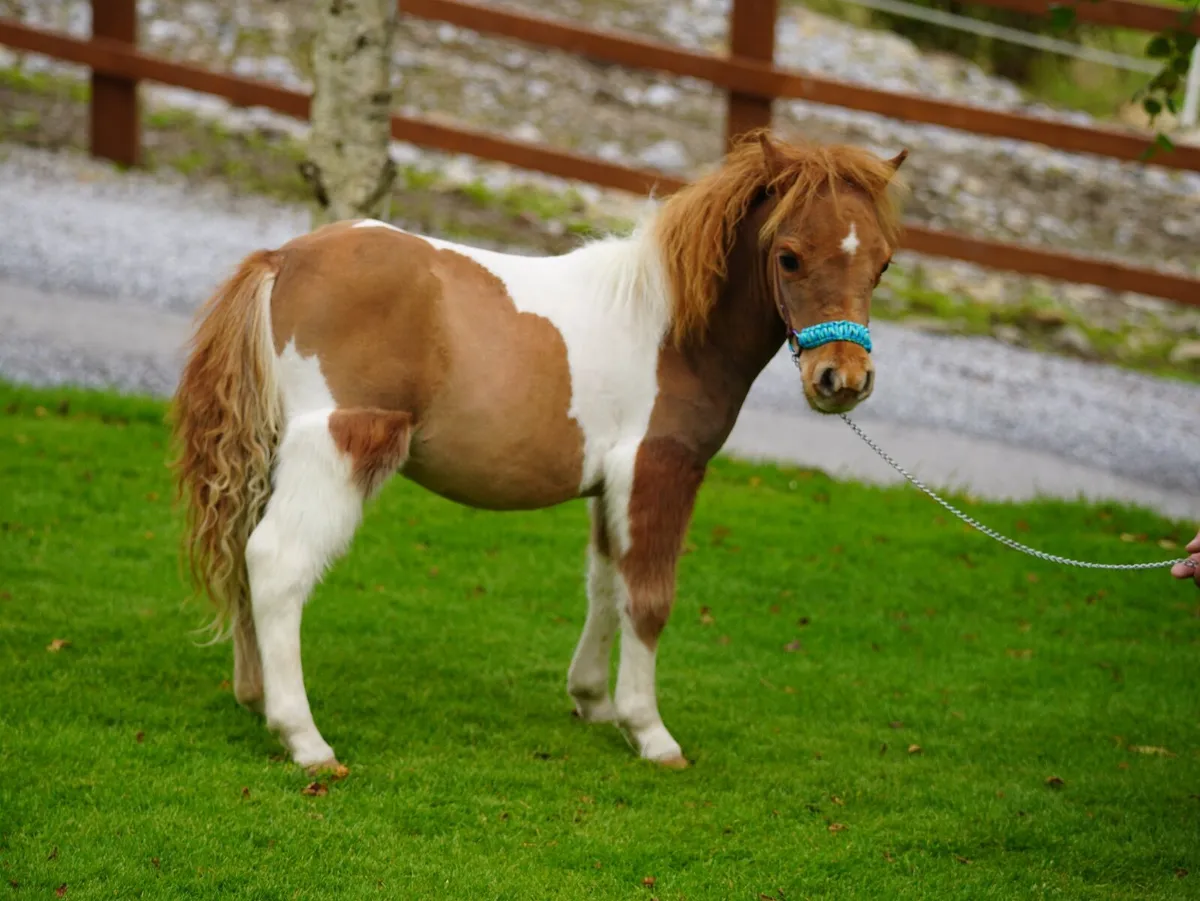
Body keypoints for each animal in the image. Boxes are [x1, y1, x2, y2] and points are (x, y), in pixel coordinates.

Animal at [170, 130, 908, 773]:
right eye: (789, 256)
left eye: (882, 263)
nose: (842, 380)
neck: (670, 326)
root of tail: (282, 259)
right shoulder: (659, 469)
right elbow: (650, 598)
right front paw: (651, 732)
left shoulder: (612, 486)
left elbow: (606, 584)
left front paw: (594, 701)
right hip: (340, 445)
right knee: (276, 562)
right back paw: (305, 738)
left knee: (243, 552)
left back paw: (255, 694)